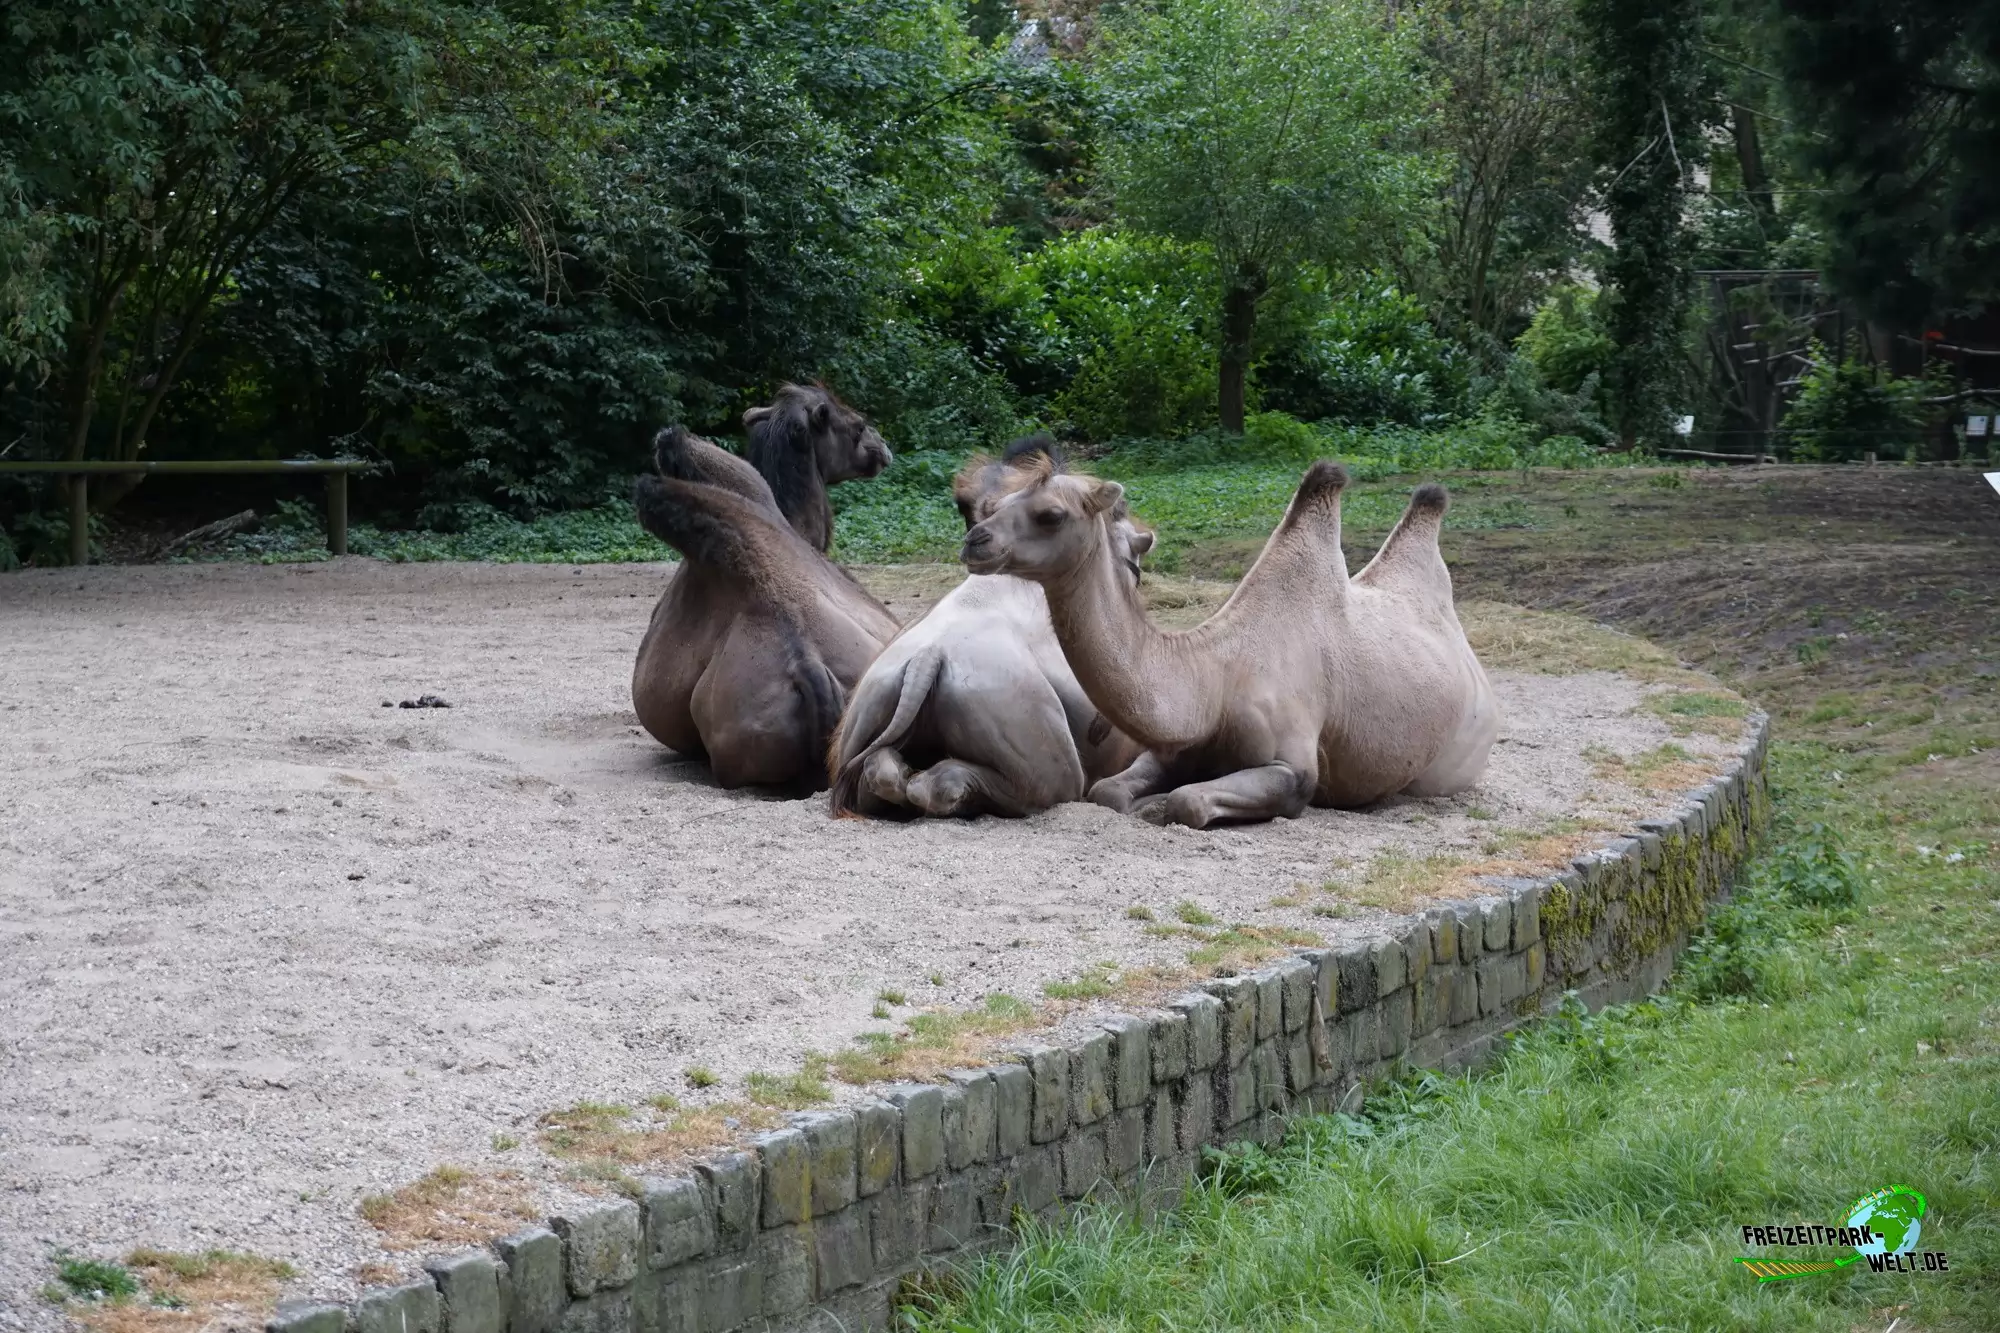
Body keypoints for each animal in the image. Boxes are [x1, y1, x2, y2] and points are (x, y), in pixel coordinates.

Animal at [958, 459, 1499, 828]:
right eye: (994, 507)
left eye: (1050, 514)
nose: (974, 542)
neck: (1215, 681)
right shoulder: (1172, 748)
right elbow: (1108, 791)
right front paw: (1140, 798)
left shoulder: (1293, 768)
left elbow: (1188, 799)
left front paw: (1157, 804)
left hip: (1458, 759)